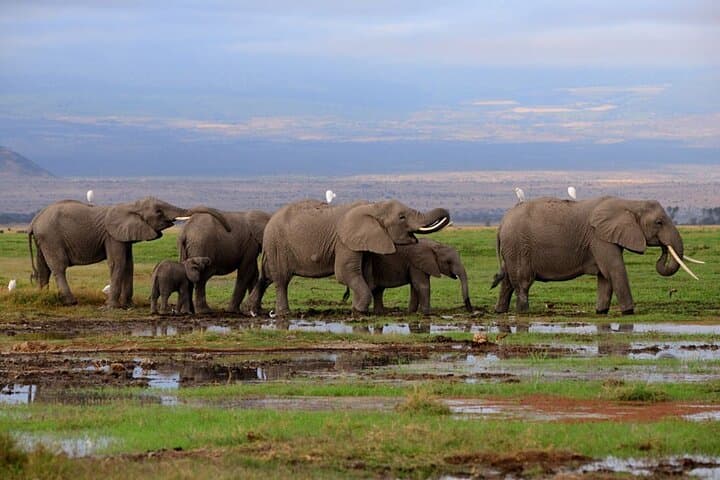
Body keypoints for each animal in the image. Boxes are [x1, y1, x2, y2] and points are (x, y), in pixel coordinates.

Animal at [28, 197, 231, 308]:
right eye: (158, 211)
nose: (228, 229)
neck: (130, 206)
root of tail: (34, 221)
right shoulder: (112, 236)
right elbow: (117, 263)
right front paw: (112, 306)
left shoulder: (125, 235)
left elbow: (128, 264)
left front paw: (127, 305)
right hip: (51, 237)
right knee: (58, 267)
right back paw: (71, 301)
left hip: (43, 239)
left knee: (43, 267)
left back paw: (42, 296)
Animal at [247, 199, 450, 316]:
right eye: (401, 217)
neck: (373, 207)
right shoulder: (344, 241)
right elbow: (345, 273)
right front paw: (359, 310)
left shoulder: (364, 242)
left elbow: (366, 275)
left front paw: (357, 308)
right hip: (278, 244)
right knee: (281, 279)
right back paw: (284, 314)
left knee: (267, 277)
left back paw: (251, 309)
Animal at [342, 238, 472, 314]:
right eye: (448, 262)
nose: (470, 310)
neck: (434, 245)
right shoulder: (416, 263)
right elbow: (422, 285)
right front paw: (427, 313)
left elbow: (415, 287)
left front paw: (411, 312)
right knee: (370, 288)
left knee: (378, 290)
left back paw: (379, 313)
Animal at [492, 196, 701, 314]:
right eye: (659, 222)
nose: (663, 251)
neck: (630, 203)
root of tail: (501, 224)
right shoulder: (599, 237)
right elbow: (615, 270)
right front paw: (629, 312)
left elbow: (605, 277)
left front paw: (601, 311)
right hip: (519, 246)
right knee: (522, 282)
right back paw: (523, 313)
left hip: (512, 249)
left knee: (508, 281)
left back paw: (500, 312)